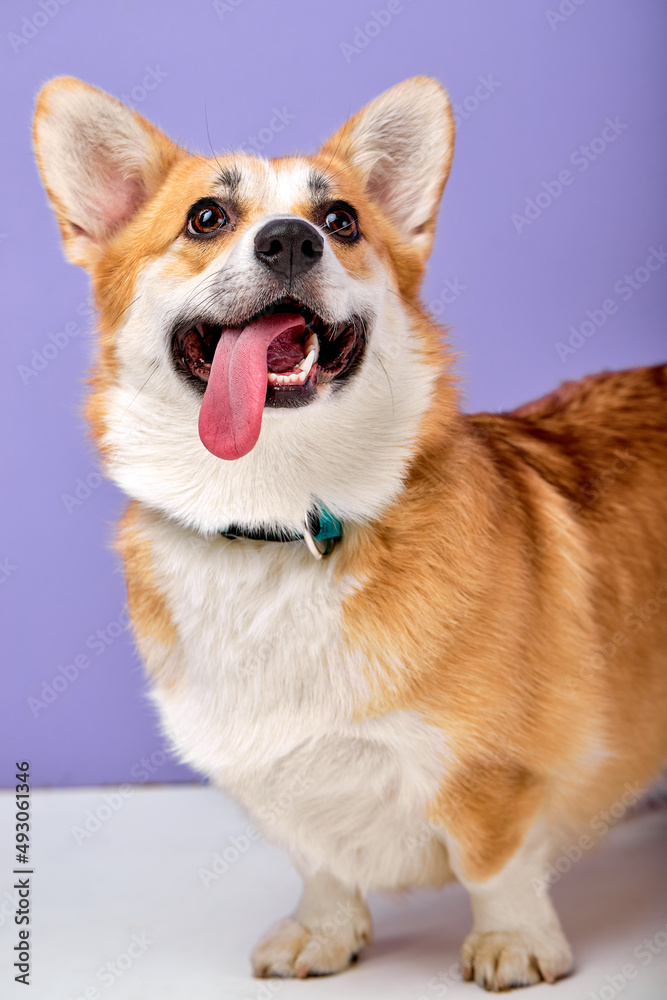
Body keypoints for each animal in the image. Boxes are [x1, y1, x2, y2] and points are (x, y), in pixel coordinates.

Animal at [32, 74, 667, 988]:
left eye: (340, 221)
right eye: (205, 217)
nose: (291, 241)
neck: (280, 516)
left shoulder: (491, 773)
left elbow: (493, 864)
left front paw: (511, 942)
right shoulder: (276, 773)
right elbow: (319, 858)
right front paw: (324, 931)